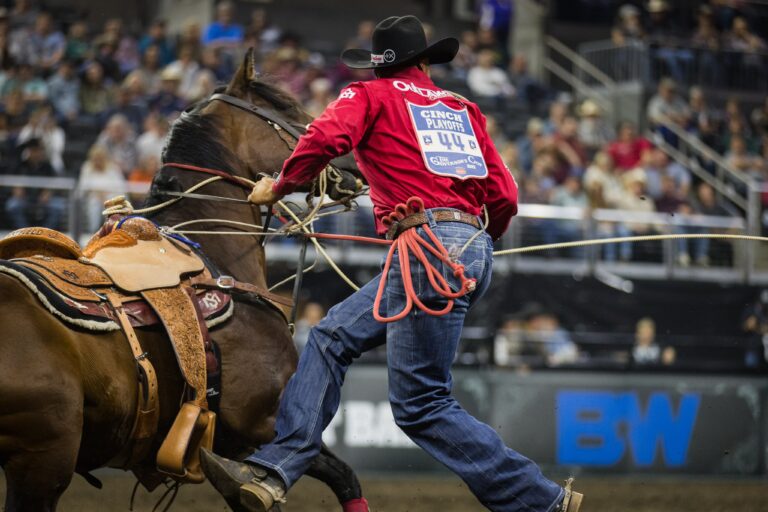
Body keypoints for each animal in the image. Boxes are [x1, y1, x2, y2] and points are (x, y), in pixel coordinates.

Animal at [0, 49, 364, 512]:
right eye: (290, 112)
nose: (355, 165)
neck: (214, 259)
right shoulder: (260, 426)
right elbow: (342, 476)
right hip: (45, 461)